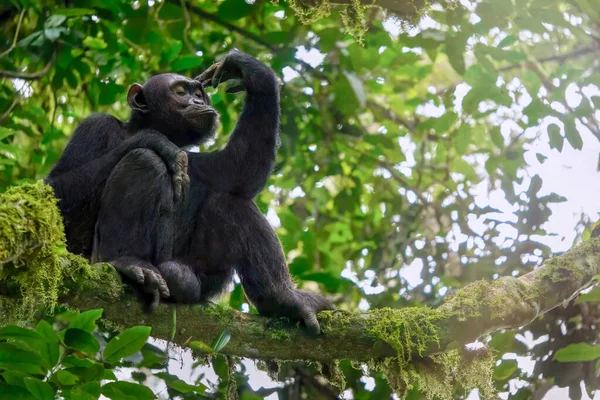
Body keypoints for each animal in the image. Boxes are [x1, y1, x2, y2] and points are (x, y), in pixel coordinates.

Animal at [51, 50, 332, 334]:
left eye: (199, 93)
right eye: (179, 91)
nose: (197, 100)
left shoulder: (198, 162)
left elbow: (237, 171)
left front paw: (247, 69)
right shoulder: (94, 126)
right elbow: (58, 189)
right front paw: (153, 140)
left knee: (229, 203)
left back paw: (283, 299)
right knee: (144, 160)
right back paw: (127, 263)